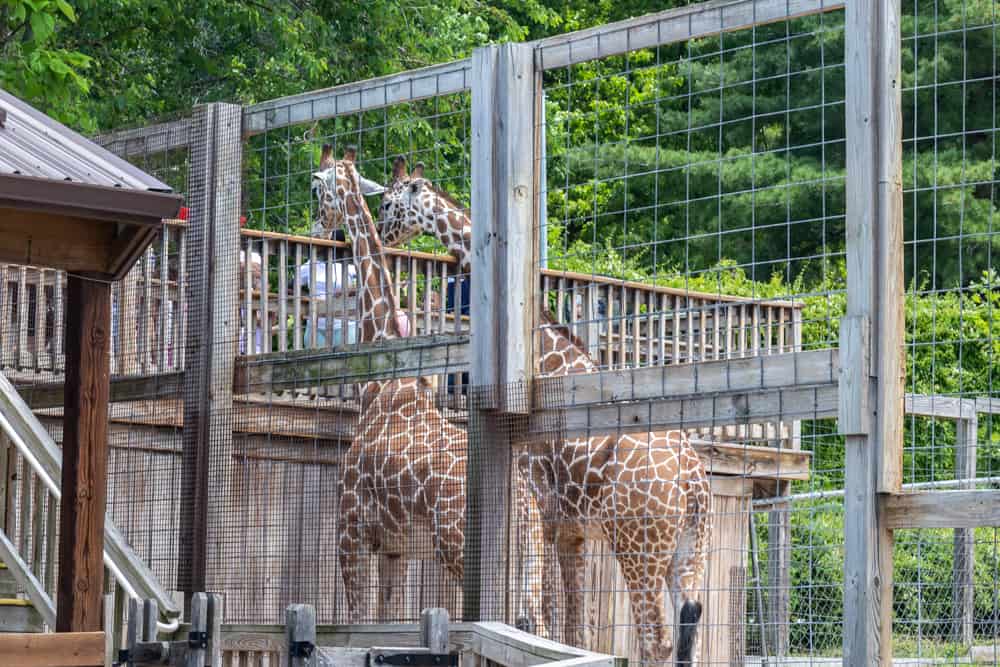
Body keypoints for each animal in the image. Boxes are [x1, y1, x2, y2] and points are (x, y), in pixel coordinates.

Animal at [312, 149, 548, 636]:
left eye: (314, 190)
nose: (321, 229)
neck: (378, 385)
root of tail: (520, 501)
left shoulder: (350, 530)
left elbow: (357, 624)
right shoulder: (396, 547)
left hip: (459, 551)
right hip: (531, 563)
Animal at [378, 158, 716, 667]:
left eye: (386, 202)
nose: (380, 234)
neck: (549, 359)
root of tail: (695, 485)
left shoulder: (543, 510)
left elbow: (542, 618)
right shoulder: (571, 528)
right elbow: (573, 629)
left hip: (639, 548)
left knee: (656, 639)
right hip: (688, 552)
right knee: (688, 631)